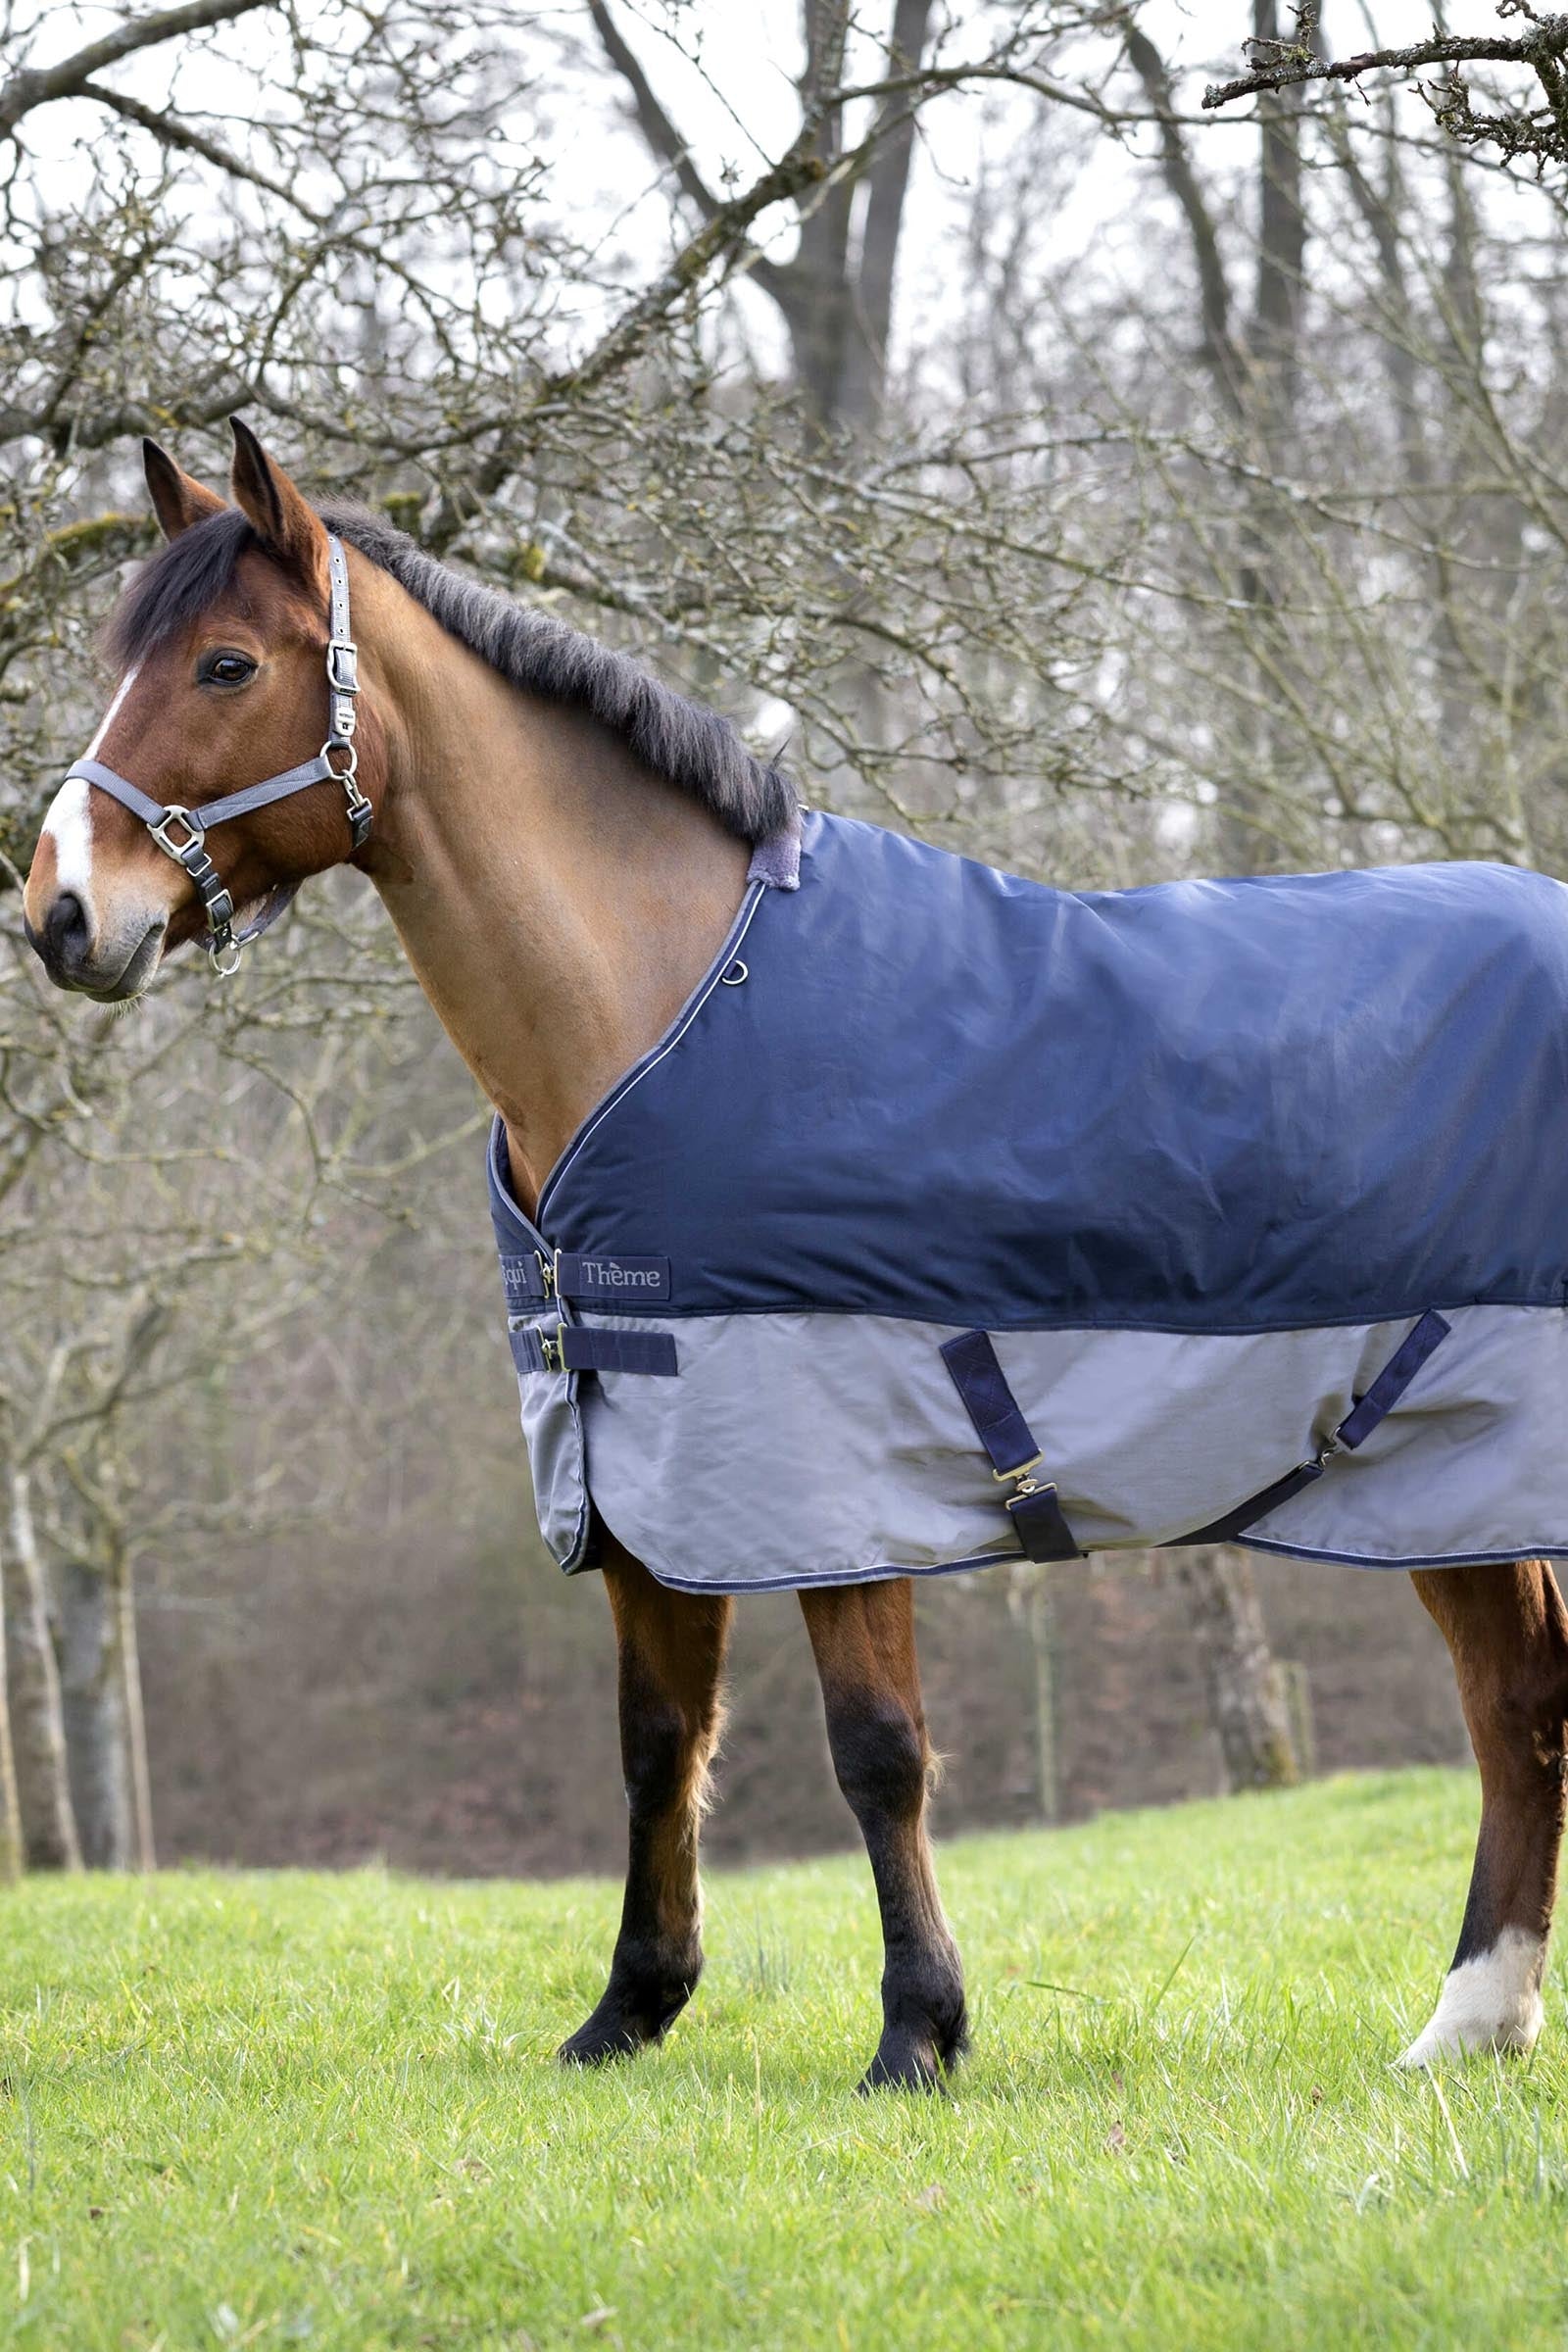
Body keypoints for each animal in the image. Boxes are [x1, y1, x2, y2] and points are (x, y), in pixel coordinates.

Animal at [20, 419, 1568, 2087]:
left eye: (227, 665)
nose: (60, 912)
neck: (665, 1004)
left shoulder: (831, 1466)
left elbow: (876, 1752)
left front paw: (917, 2035)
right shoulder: (636, 1462)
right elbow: (657, 1745)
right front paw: (630, 2009)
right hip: (1435, 1477)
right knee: (1515, 1697)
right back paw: (1473, 2025)